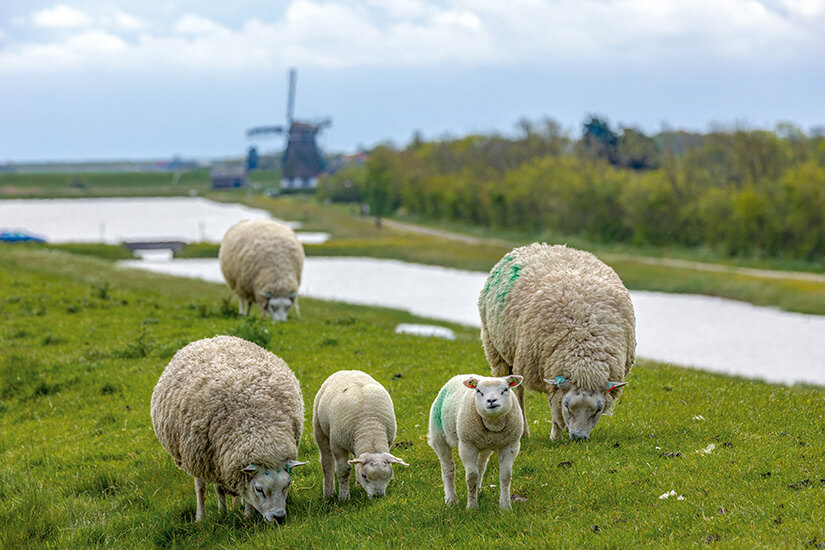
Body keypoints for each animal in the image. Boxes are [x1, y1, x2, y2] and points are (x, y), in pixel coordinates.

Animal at [150, 336, 308, 528]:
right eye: (259, 489)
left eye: (287, 485)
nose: (278, 518)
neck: (256, 426)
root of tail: (213, 338)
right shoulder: (206, 457)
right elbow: (209, 489)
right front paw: (217, 515)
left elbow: (243, 493)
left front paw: (247, 515)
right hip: (199, 457)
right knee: (203, 487)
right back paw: (207, 515)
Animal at [312, 368, 408, 502]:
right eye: (364, 476)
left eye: (389, 476)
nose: (378, 496)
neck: (369, 427)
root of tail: (347, 371)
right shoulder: (338, 446)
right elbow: (344, 471)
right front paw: (344, 497)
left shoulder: (388, 442)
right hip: (320, 429)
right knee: (327, 462)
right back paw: (328, 493)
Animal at [424, 374, 520, 512]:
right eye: (478, 391)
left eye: (505, 389)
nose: (491, 400)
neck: (493, 424)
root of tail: (460, 375)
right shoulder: (467, 446)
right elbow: (472, 477)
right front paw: (472, 507)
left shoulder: (510, 445)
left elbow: (505, 476)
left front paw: (505, 507)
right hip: (439, 437)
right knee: (448, 468)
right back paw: (451, 499)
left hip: (484, 446)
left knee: (481, 467)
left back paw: (478, 491)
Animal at [476, 246, 636, 444]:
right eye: (567, 405)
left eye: (598, 409)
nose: (578, 438)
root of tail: (537, 245)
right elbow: (554, 408)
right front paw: (556, 436)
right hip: (498, 349)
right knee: (516, 390)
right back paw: (523, 431)